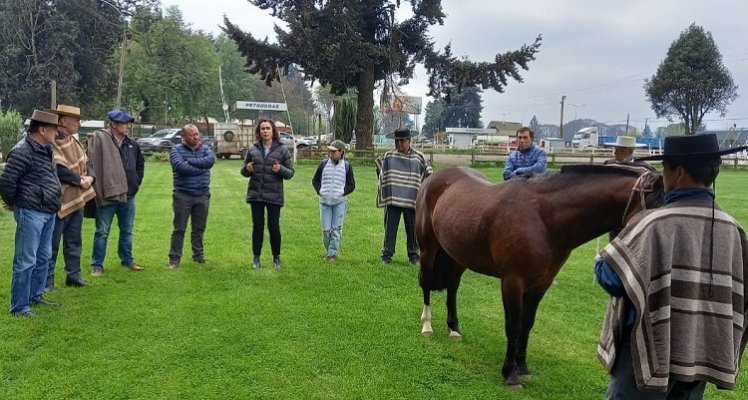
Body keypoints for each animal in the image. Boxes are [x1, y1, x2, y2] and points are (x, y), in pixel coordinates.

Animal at [418, 165, 664, 388]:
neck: (543, 218)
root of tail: (435, 176)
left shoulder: (540, 284)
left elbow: (527, 324)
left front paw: (522, 367)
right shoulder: (512, 282)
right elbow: (513, 326)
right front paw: (510, 374)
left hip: (457, 255)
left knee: (452, 287)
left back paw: (454, 329)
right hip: (429, 249)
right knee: (426, 284)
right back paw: (427, 327)